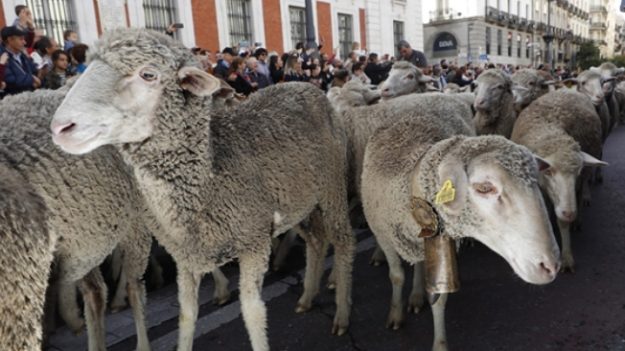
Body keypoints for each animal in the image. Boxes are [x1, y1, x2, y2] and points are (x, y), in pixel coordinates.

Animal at [51, 29, 354, 351]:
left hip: (332, 185)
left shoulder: (254, 243)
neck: (209, 179)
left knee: (342, 239)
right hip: (299, 202)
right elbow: (186, 315)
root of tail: (305, 86)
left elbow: (253, 312)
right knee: (316, 240)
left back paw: (341, 313)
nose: (60, 127)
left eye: (148, 74)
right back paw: (308, 297)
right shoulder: (186, 258)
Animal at [360, 115, 560, 351]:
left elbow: (439, 298)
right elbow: (397, 276)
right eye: (484, 188)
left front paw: (439, 344)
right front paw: (395, 315)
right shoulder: (386, 237)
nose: (550, 266)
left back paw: (416, 296)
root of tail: (404, 119)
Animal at [510, 89, 608, 270]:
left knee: (582, 190)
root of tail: (566, 89)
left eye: (577, 172)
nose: (569, 213)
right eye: (548, 171)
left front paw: (567, 257)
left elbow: (562, 222)